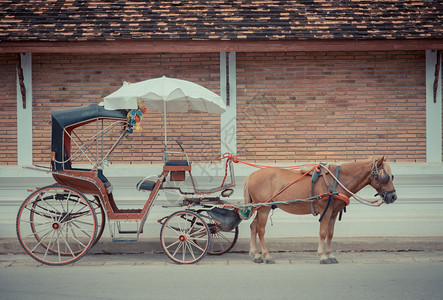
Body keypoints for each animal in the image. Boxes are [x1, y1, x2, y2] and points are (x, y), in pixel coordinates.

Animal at [245, 156, 398, 264]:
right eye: (384, 176)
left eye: (392, 176)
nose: (393, 196)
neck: (337, 180)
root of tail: (251, 176)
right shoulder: (326, 210)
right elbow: (323, 233)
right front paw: (323, 255)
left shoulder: (334, 213)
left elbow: (330, 234)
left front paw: (330, 254)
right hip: (264, 208)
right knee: (260, 230)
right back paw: (266, 255)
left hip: (259, 208)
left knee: (253, 227)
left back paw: (256, 254)